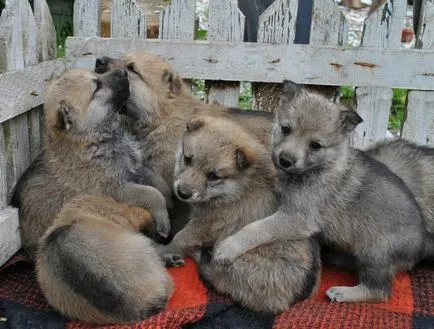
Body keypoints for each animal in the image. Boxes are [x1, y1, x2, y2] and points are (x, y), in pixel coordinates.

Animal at [159, 116, 318, 312]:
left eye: (213, 176)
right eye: (187, 159)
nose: (182, 193)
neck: (236, 188)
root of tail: (291, 301)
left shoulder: (204, 226)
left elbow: (179, 238)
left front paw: (164, 251)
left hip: (227, 261)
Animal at [214, 80, 428, 302]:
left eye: (316, 145)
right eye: (285, 129)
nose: (285, 160)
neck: (318, 169)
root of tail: (421, 246)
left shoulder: (297, 218)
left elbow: (258, 228)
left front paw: (229, 246)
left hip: (375, 253)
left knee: (379, 291)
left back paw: (343, 292)